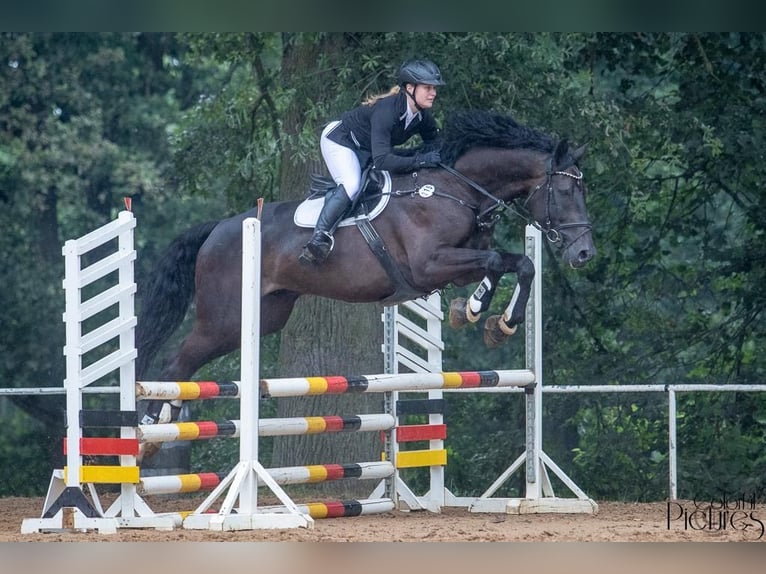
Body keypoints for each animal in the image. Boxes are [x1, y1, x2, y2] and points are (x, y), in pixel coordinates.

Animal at [135, 109, 596, 429]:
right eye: (565, 190)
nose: (584, 253)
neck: (457, 189)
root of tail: (218, 229)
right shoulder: (430, 265)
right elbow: (500, 261)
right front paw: (480, 312)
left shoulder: (456, 265)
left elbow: (518, 263)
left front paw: (491, 320)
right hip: (225, 319)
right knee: (176, 364)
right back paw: (150, 429)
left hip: (264, 316)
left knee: (185, 365)